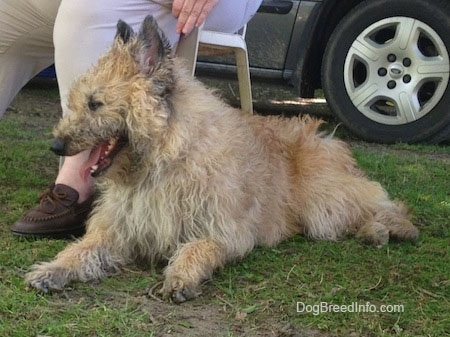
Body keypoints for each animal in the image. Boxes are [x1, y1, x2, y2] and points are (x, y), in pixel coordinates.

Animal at [24, 15, 418, 302]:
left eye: (95, 103)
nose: (56, 145)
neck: (165, 158)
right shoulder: (119, 230)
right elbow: (82, 249)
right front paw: (53, 269)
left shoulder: (223, 231)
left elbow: (198, 247)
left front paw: (182, 274)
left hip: (323, 199)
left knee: (381, 202)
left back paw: (391, 227)